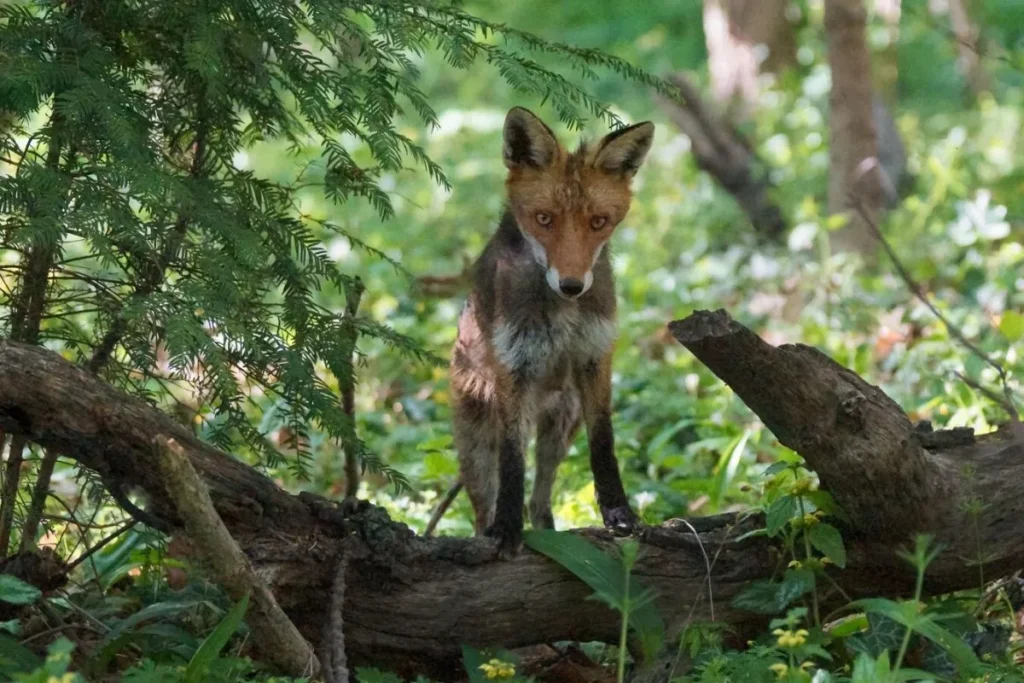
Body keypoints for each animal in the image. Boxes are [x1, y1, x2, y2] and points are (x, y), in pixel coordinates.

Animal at [430, 105, 655, 557]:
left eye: (598, 222)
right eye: (544, 219)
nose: (571, 286)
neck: (563, 315)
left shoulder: (594, 356)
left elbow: (603, 444)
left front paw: (619, 514)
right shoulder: (513, 369)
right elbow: (514, 462)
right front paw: (506, 530)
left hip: (562, 425)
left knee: (541, 498)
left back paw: (550, 535)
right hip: (478, 444)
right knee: (484, 505)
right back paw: (492, 528)